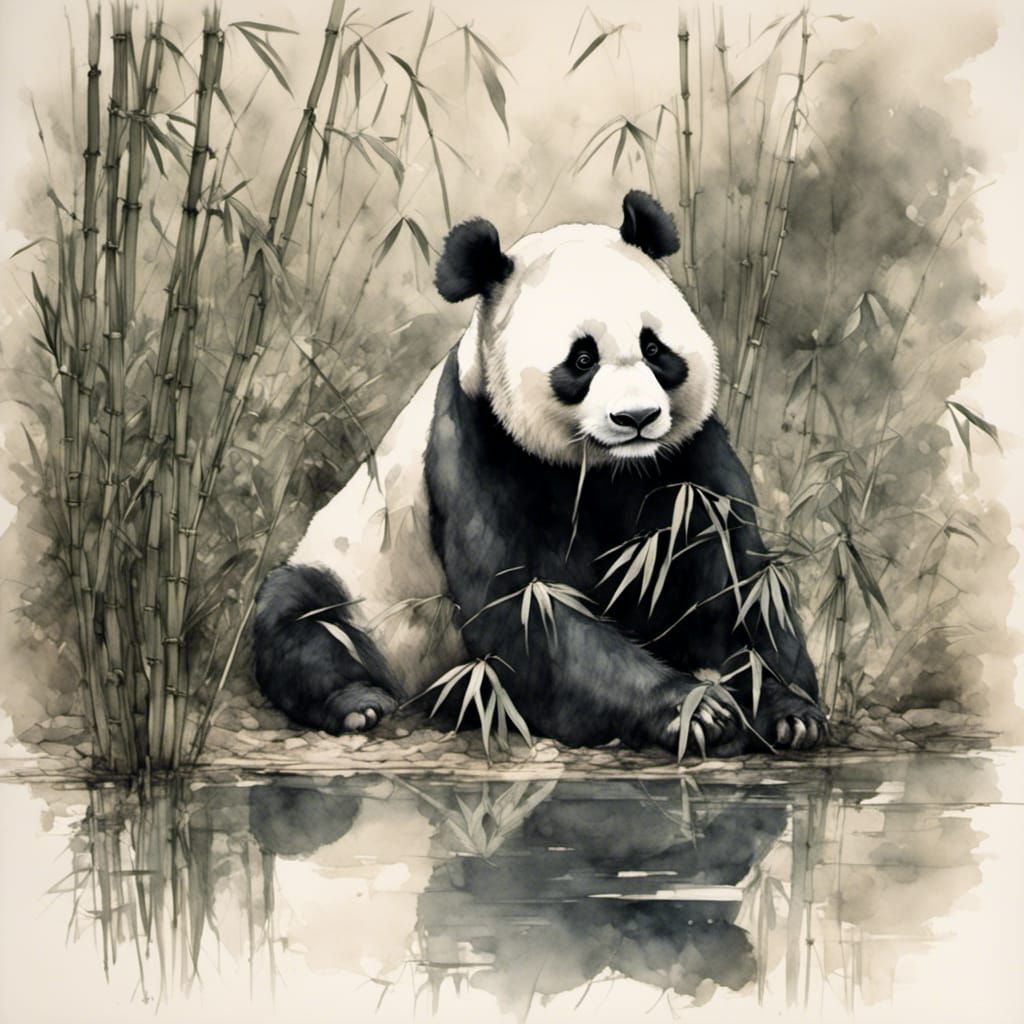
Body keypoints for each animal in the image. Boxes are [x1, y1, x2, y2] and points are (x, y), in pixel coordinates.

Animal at [253, 191, 826, 756]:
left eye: (654, 348)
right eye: (582, 359)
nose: (637, 418)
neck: (608, 467)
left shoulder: (686, 458)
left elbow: (735, 581)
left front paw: (787, 710)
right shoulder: (480, 443)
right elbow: (526, 608)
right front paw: (694, 709)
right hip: (358, 589)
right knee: (299, 616)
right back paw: (358, 702)